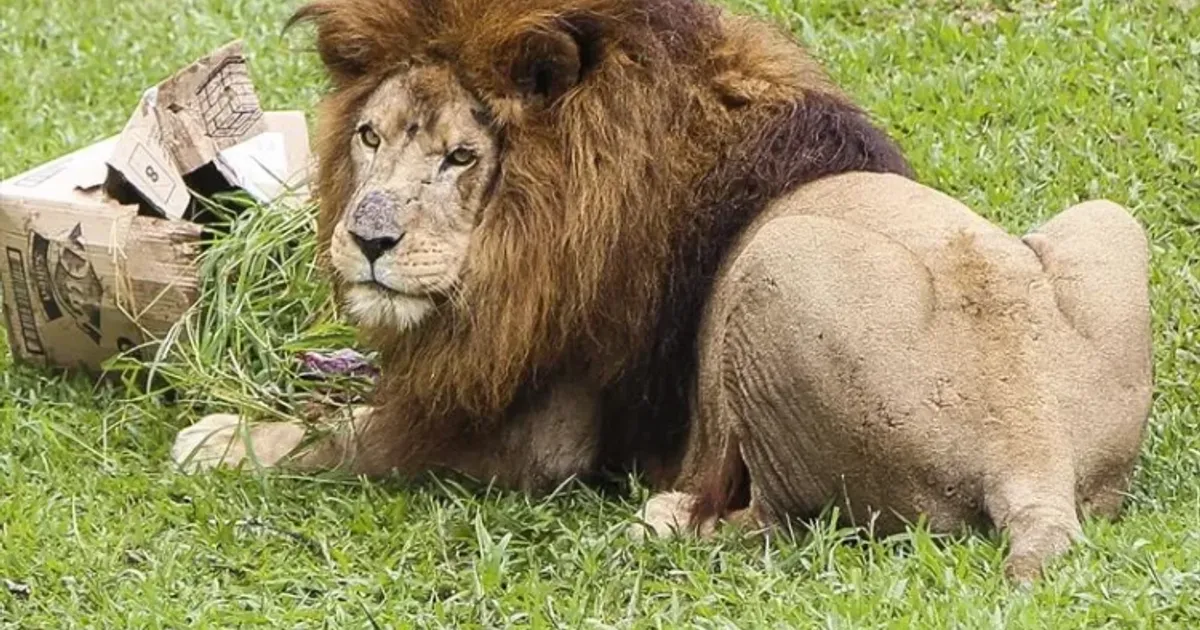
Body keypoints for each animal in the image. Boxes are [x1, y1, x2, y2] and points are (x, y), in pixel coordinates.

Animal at [171, 0, 1152, 583]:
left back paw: (669, 517)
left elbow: (343, 439)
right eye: (369, 137)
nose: (368, 240)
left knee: (778, 524)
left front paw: (218, 437)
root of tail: (1028, 448)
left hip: (772, 268)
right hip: (1109, 225)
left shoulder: (542, 435)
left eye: (458, 157)